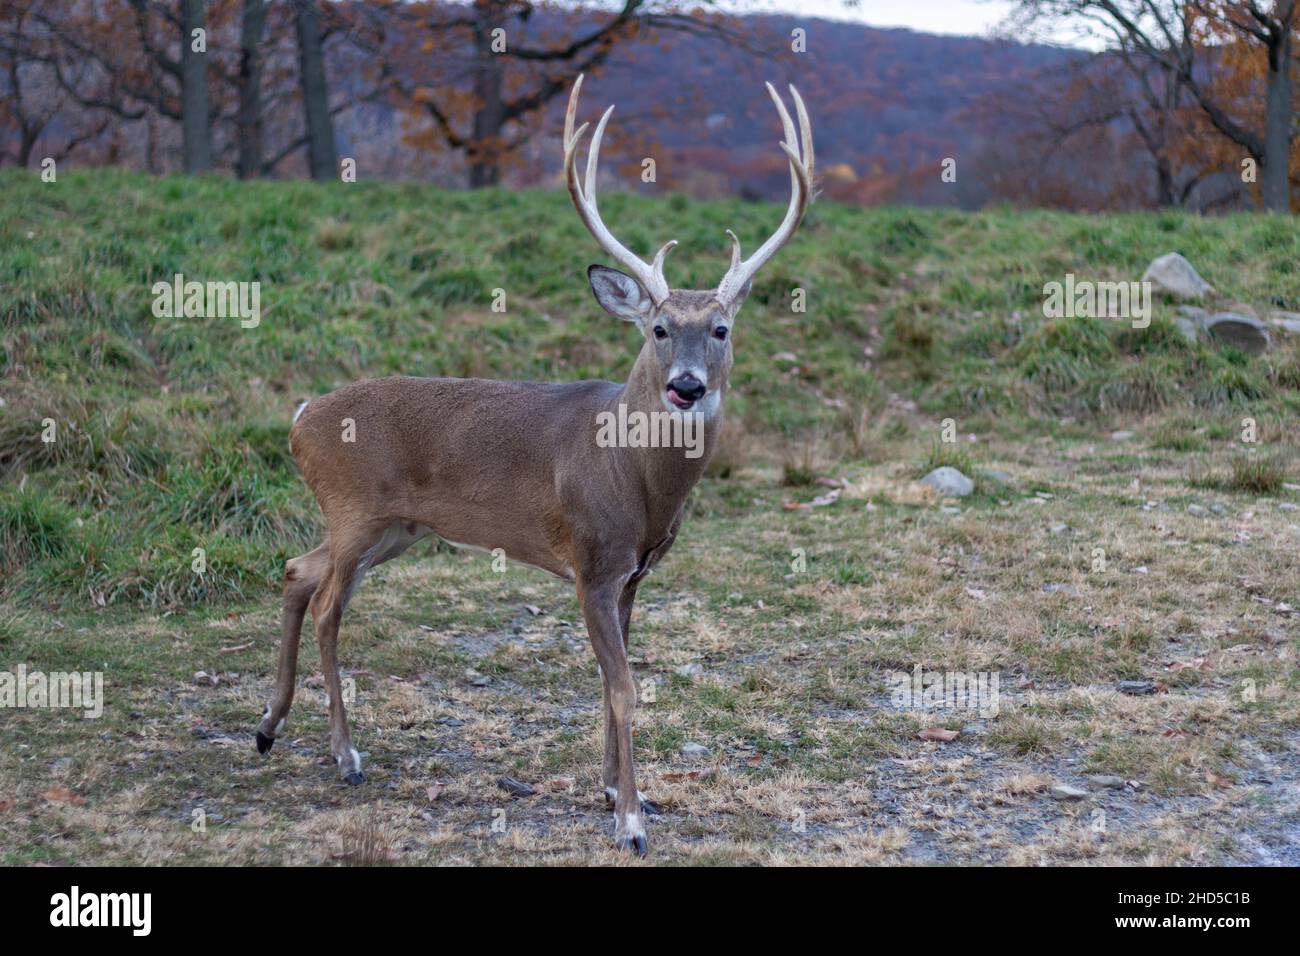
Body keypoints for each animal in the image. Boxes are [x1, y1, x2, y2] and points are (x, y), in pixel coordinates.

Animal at [255, 74, 813, 857]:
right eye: (658, 328)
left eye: (722, 329)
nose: (687, 386)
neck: (637, 480)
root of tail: (301, 417)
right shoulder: (593, 560)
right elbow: (624, 688)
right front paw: (632, 821)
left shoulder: (633, 575)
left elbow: (614, 681)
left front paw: (612, 790)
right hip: (355, 507)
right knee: (330, 606)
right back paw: (346, 756)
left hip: (393, 527)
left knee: (297, 572)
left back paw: (268, 728)